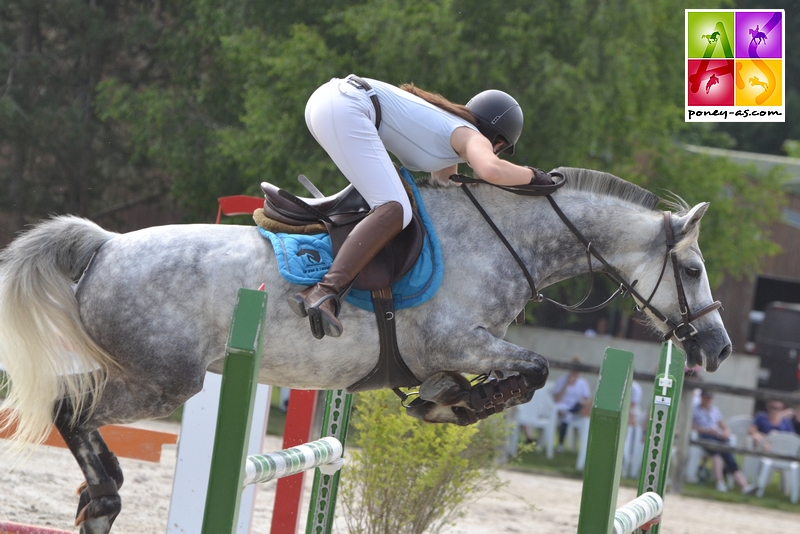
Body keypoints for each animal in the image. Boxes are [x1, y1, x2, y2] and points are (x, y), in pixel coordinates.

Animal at [0, 166, 732, 532]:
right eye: (695, 270)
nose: (719, 347)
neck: (502, 240)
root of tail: (104, 246)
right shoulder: (460, 341)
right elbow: (534, 370)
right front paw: (451, 404)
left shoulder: (461, 348)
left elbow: (517, 373)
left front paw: (444, 399)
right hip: (165, 379)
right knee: (70, 407)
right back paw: (105, 495)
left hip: (142, 371)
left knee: (75, 408)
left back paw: (100, 498)